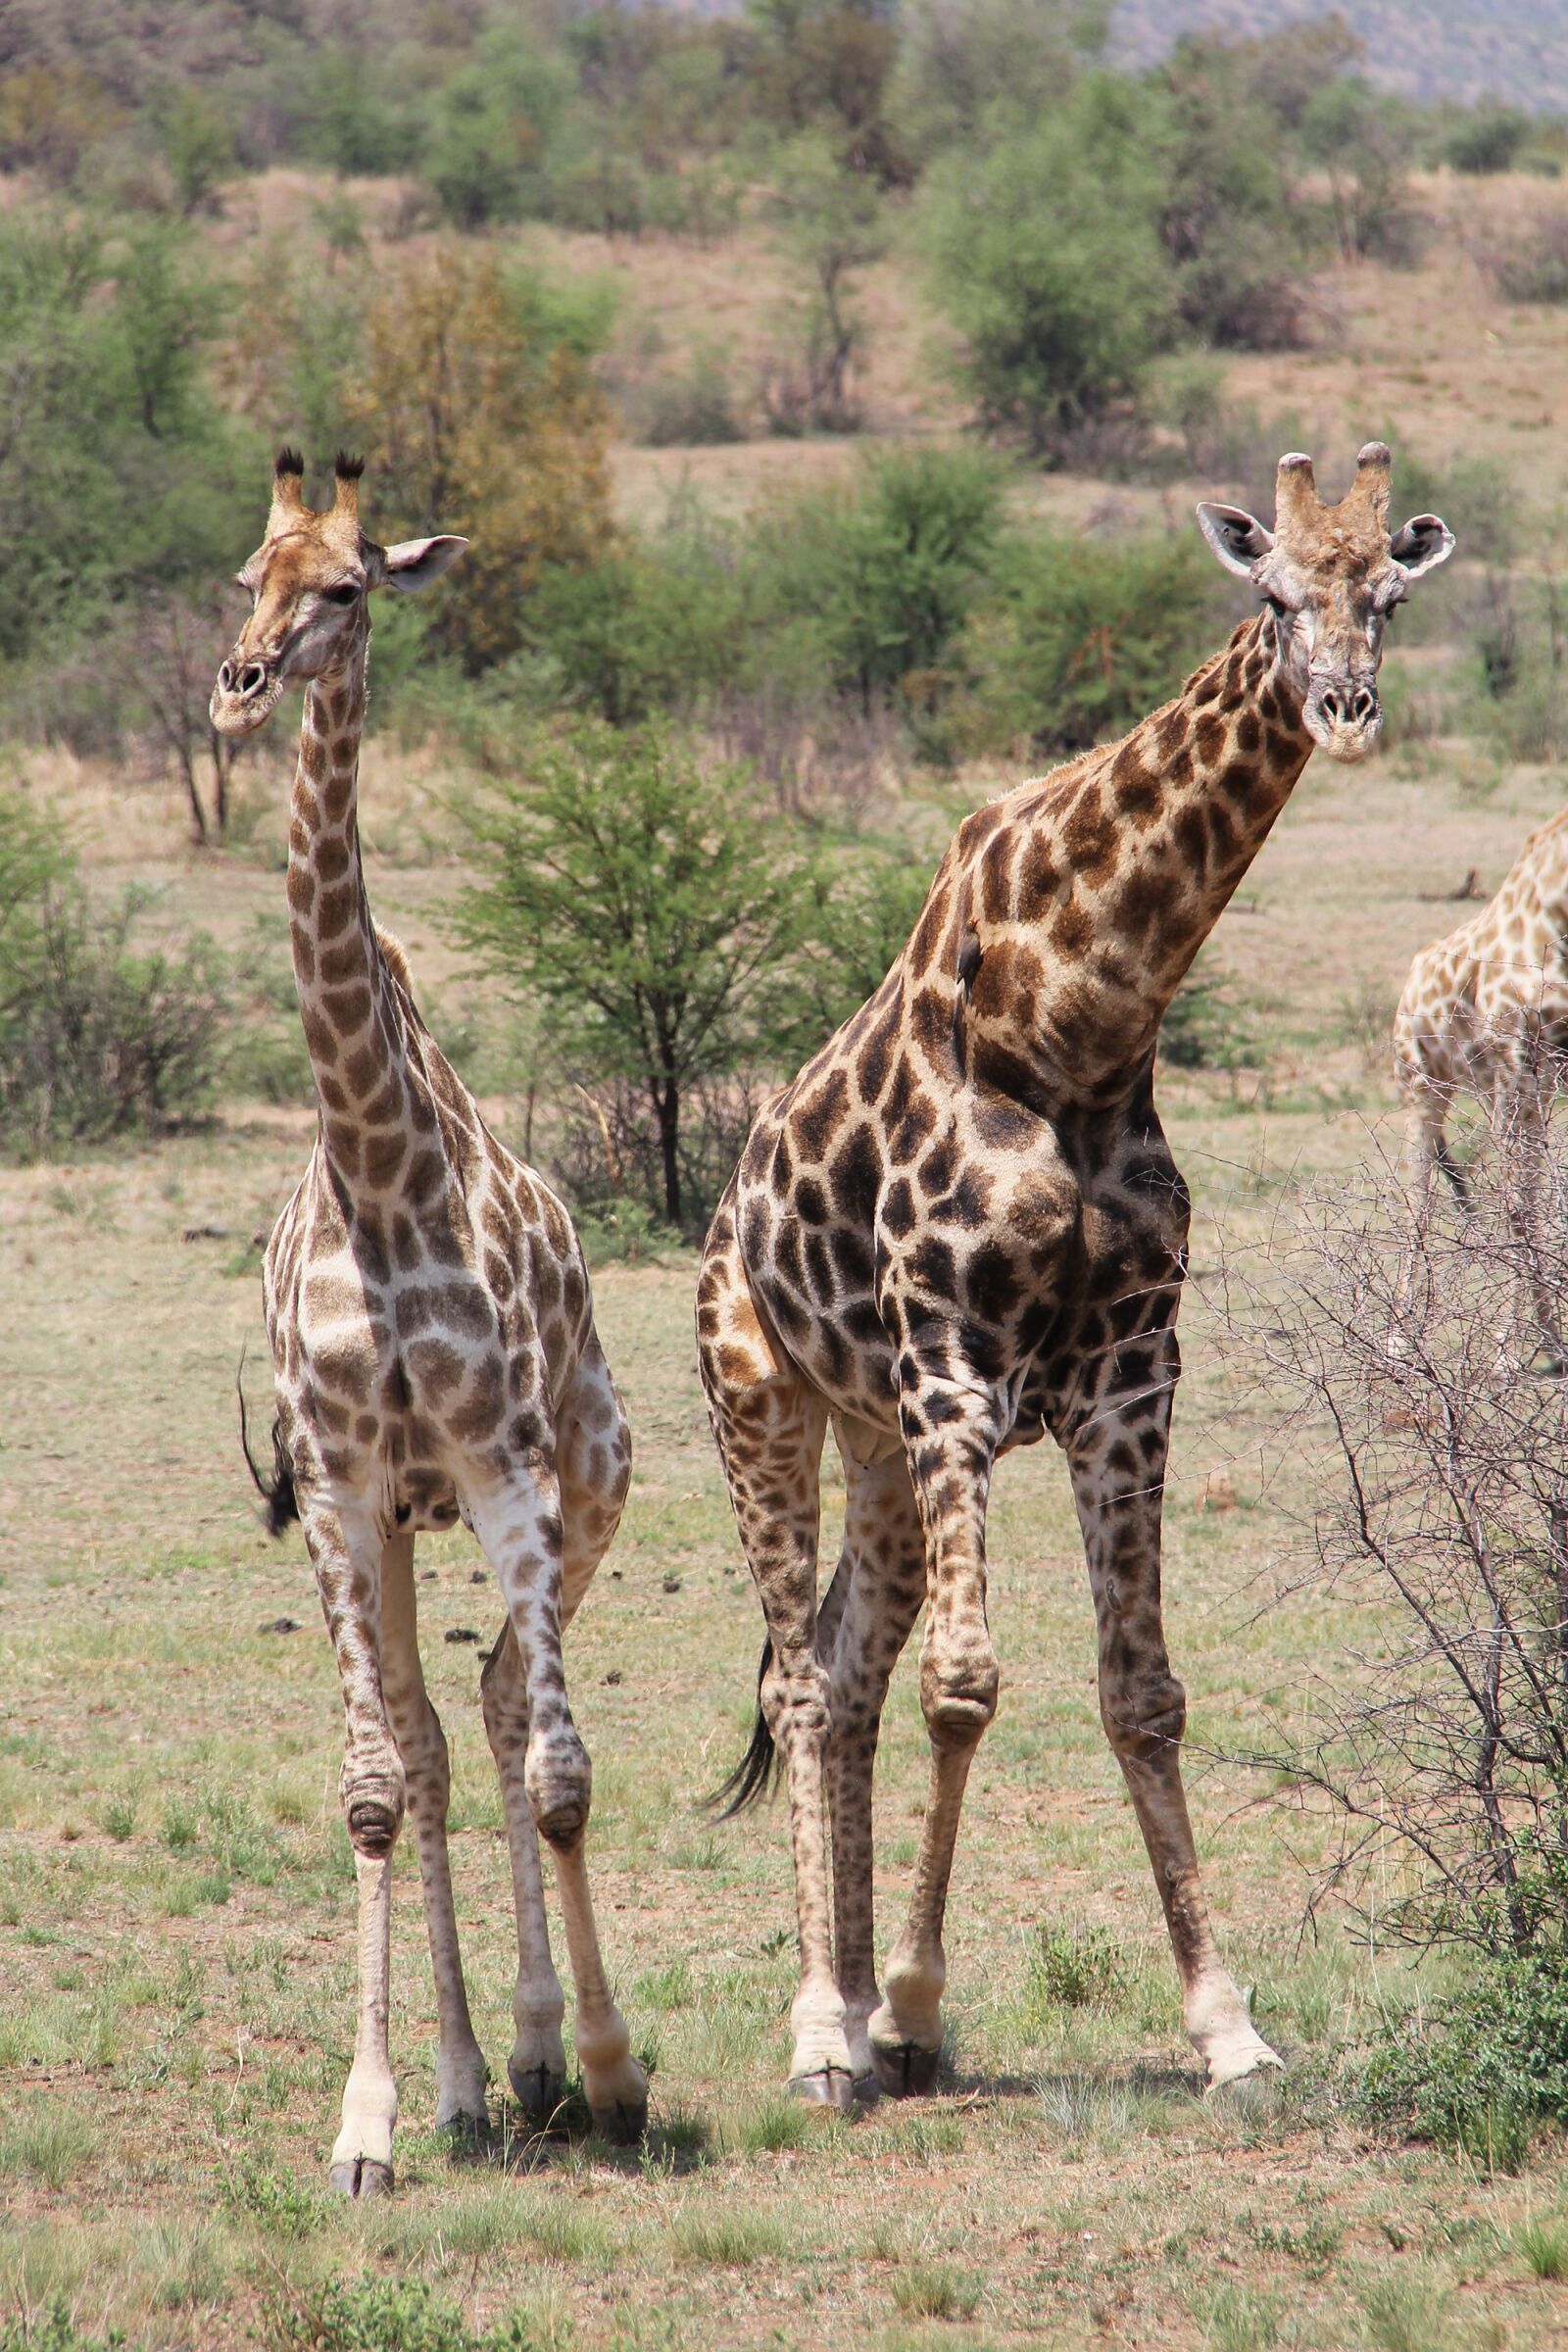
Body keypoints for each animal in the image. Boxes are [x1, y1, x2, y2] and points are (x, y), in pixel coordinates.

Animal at [212, 450, 648, 2193]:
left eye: (348, 588)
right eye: (243, 577)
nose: (240, 684)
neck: (381, 1166)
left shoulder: (508, 1465)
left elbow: (565, 1768)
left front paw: (610, 2072)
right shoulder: (338, 1483)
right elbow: (377, 1788)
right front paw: (370, 2121)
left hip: (580, 1486)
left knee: (505, 1711)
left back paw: (538, 2058)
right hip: (398, 1525)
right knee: (439, 1731)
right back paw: (471, 2082)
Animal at [696, 445, 1455, 2105]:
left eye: (1387, 595)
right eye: (1273, 591)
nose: (1346, 706)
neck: (1081, 1019)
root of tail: (722, 1221)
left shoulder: (1128, 1376)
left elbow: (1142, 1691)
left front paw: (1226, 2024)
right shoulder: (952, 1367)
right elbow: (970, 1683)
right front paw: (917, 2006)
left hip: (877, 1451)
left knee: (845, 1672)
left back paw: (850, 2003)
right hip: (764, 1404)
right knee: (798, 1685)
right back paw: (824, 2030)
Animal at [1394, 812, 1568, 1370]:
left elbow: (1532, 1200)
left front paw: (1545, 1342)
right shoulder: (1515, 1064)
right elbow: (1517, 1208)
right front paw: (1507, 1354)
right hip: (1426, 1090)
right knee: (1418, 1201)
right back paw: (1400, 1341)